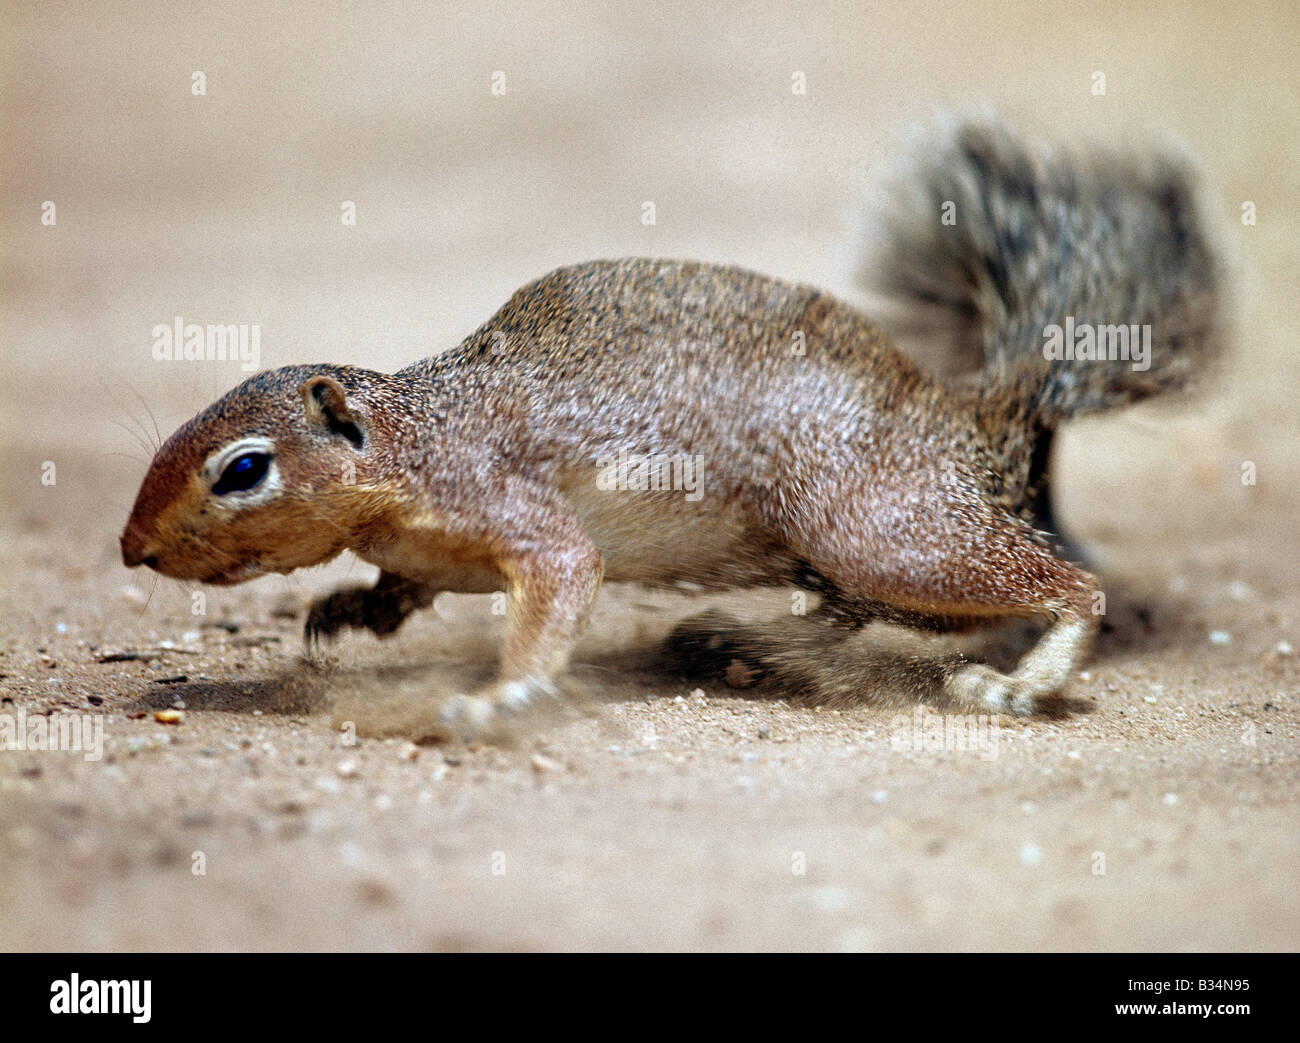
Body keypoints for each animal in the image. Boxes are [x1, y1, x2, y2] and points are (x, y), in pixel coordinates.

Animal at [119, 117, 1216, 733]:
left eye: (244, 468)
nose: (133, 547)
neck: (417, 441)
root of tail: (978, 415)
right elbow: (406, 586)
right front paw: (356, 608)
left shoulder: (516, 510)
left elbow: (560, 580)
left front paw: (498, 698)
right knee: (874, 614)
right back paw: (753, 641)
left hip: (876, 523)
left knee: (1053, 588)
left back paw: (1017, 681)